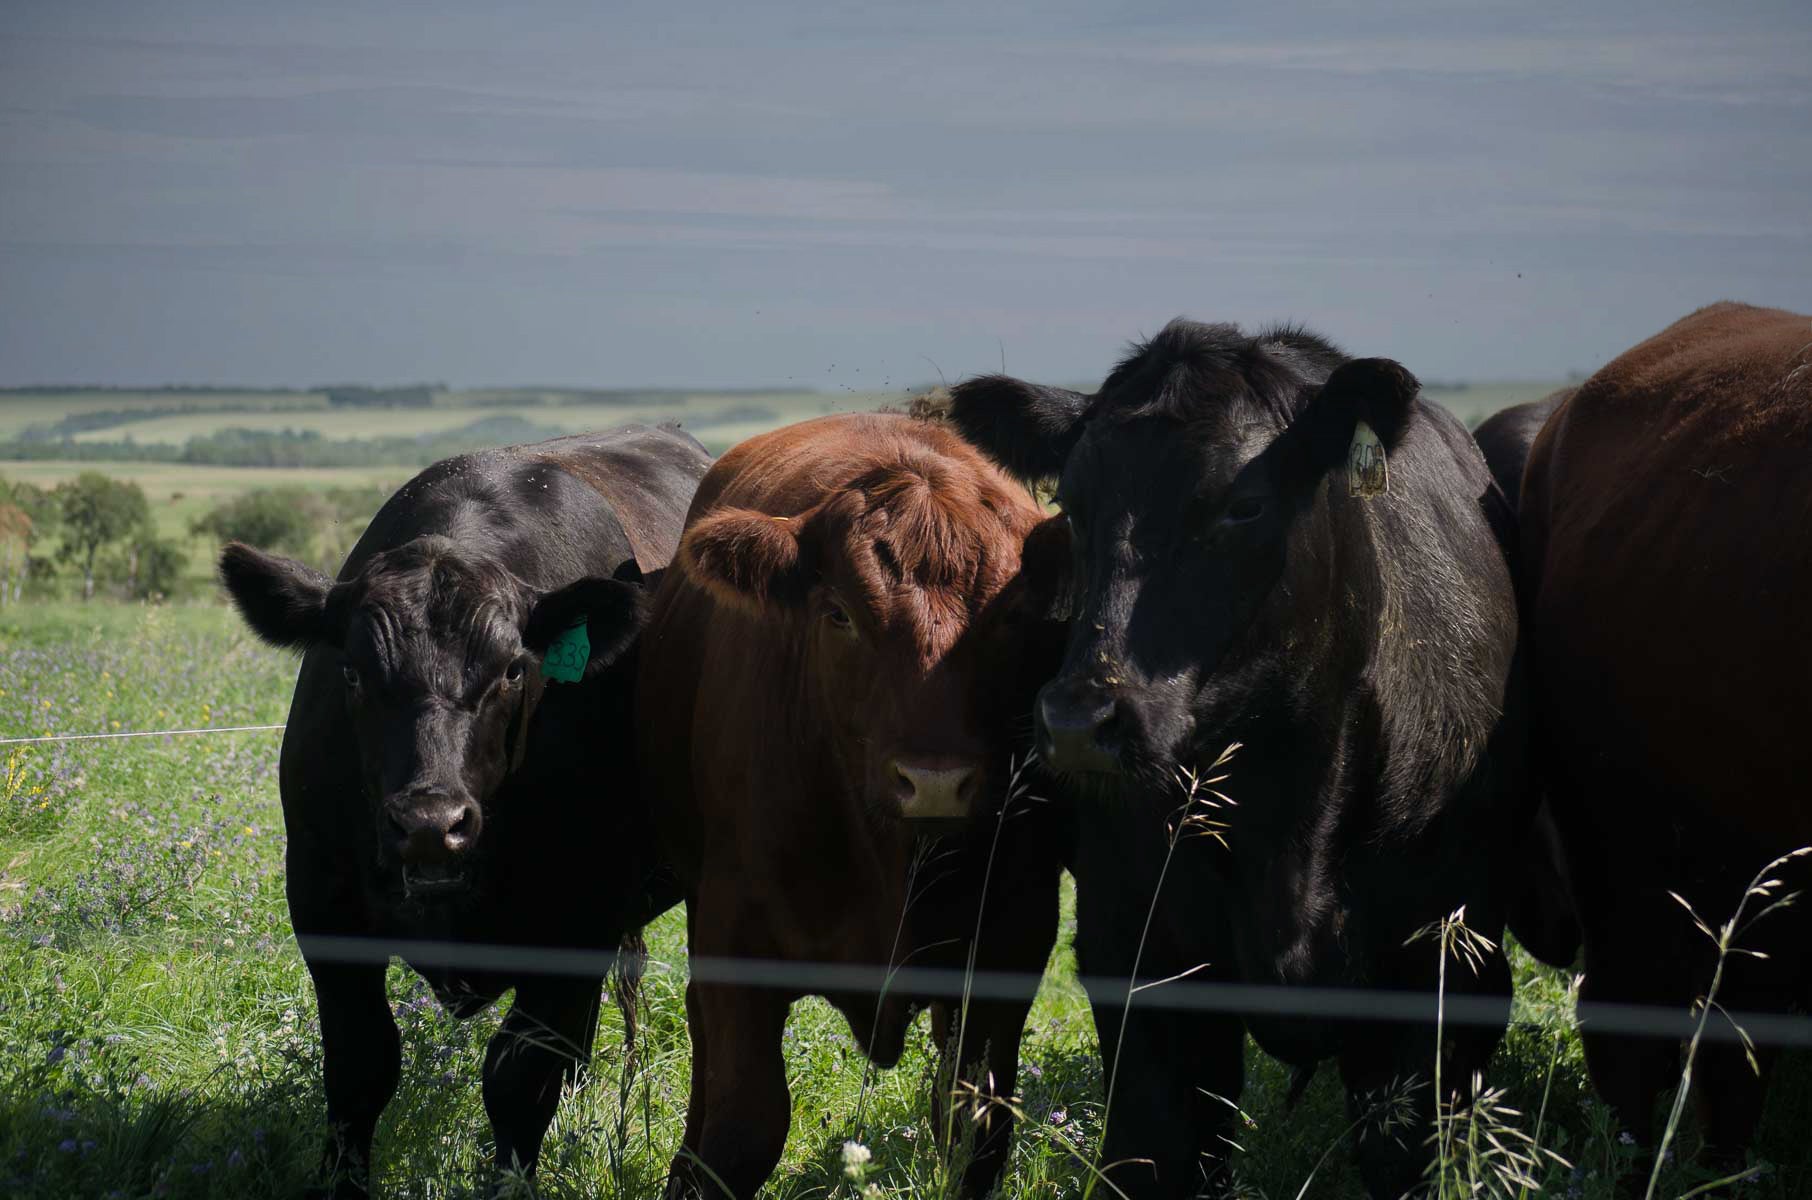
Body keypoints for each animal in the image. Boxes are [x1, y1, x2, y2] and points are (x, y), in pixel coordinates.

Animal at [217, 427, 706, 1196]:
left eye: (513, 668)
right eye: (352, 671)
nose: (428, 823)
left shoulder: (576, 919)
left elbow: (518, 1079)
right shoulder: (324, 905)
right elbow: (359, 1065)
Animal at [637, 409, 1065, 1196]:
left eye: (1014, 617)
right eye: (838, 614)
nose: (934, 780)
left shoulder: (1009, 945)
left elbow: (976, 1126)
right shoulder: (733, 933)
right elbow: (745, 1127)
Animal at [949, 322, 1529, 1200]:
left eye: (1244, 504)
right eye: (1074, 507)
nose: (1081, 721)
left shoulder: (1442, 957)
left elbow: (1401, 1151)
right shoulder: (1135, 947)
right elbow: (1157, 1150)